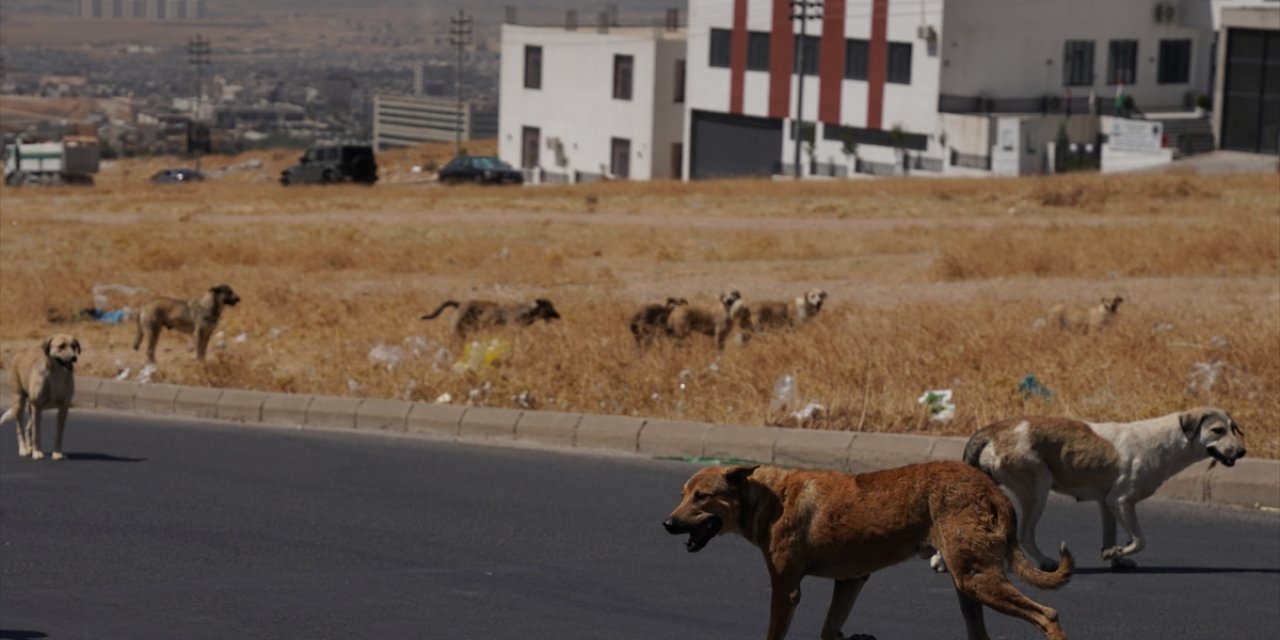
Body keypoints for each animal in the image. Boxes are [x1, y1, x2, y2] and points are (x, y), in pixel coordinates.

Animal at [665, 465, 1075, 640]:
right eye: (683, 494)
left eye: (702, 497)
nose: (667, 524)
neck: (768, 496)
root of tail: (994, 491)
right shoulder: (852, 580)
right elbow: (830, 630)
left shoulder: (786, 590)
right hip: (969, 590)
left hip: (977, 582)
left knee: (1048, 615)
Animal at [962, 407, 1244, 568]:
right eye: (1217, 430)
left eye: (1233, 428)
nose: (1242, 451)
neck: (1169, 441)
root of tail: (991, 430)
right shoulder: (1122, 501)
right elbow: (1140, 540)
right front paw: (1114, 553)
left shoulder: (1107, 504)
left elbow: (1112, 536)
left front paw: (1114, 556)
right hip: (1037, 492)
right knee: (1025, 535)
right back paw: (1044, 561)